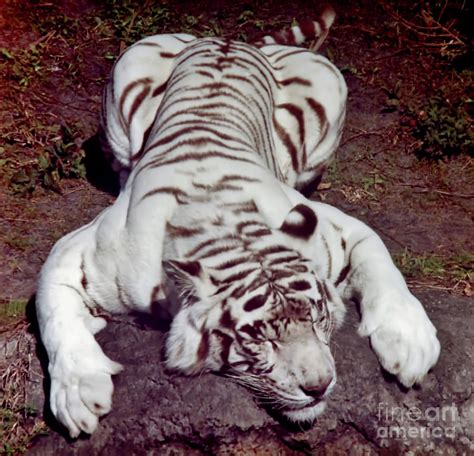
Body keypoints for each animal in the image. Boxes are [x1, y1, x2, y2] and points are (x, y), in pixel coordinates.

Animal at [35, 8, 438, 438]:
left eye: (318, 319)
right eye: (260, 340)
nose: (319, 386)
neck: (225, 228)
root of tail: (230, 39)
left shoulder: (336, 231)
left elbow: (381, 261)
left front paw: (411, 341)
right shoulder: (79, 252)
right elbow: (54, 314)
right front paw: (79, 392)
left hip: (328, 87)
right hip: (127, 74)